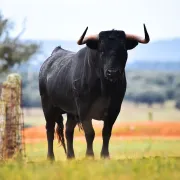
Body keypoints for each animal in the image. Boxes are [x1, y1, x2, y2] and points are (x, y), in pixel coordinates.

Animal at [38, 24, 150, 160]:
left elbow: (106, 132)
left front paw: (105, 155)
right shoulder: (84, 109)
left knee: (68, 131)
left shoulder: (114, 109)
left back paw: (71, 157)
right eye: (101, 51)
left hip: (71, 112)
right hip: (48, 106)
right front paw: (90, 156)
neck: (104, 87)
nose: (112, 72)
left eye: (123, 50)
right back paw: (51, 158)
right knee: (49, 130)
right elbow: (90, 133)